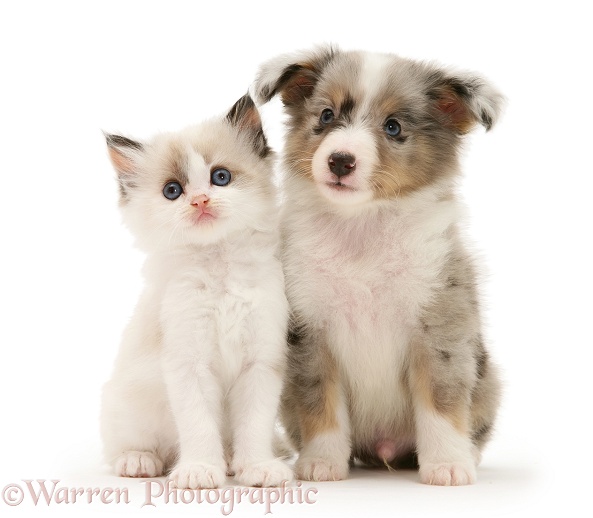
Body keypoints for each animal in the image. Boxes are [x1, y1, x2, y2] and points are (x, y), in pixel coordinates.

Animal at [100, 94, 294, 492]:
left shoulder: (261, 362)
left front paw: (257, 467)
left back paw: (236, 461)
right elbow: (199, 425)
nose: (200, 201)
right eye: (172, 191)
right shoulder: (188, 364)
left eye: (221, 177)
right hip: (124, 403)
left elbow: (254, 425)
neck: (219, 269)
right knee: (124, 446)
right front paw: (200, 471)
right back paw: (139, 461)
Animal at [252, 45, 502, 488]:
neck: (362, 226)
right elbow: (321, 403)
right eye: (327, 115)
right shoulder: (311, 333)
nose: (340, 161)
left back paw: (466, 455)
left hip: (489, 381)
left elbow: (440, 402)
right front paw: (321, 463)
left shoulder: (439, 330)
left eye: (393, 127)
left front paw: (447, 465)